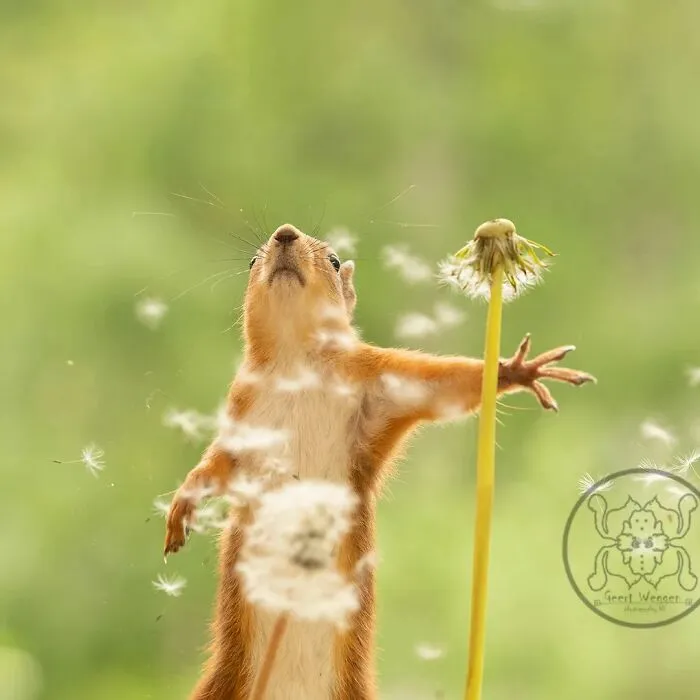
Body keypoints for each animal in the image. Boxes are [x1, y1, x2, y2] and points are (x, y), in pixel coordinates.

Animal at [163, 223, 594, 700]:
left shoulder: (380, 381)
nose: (285, 233)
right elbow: (217, 464)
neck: (297, 363)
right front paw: (183, 506)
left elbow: (442, 385)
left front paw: (518, 370)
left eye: (334, 261)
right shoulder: (242, 413)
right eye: (252, 262)